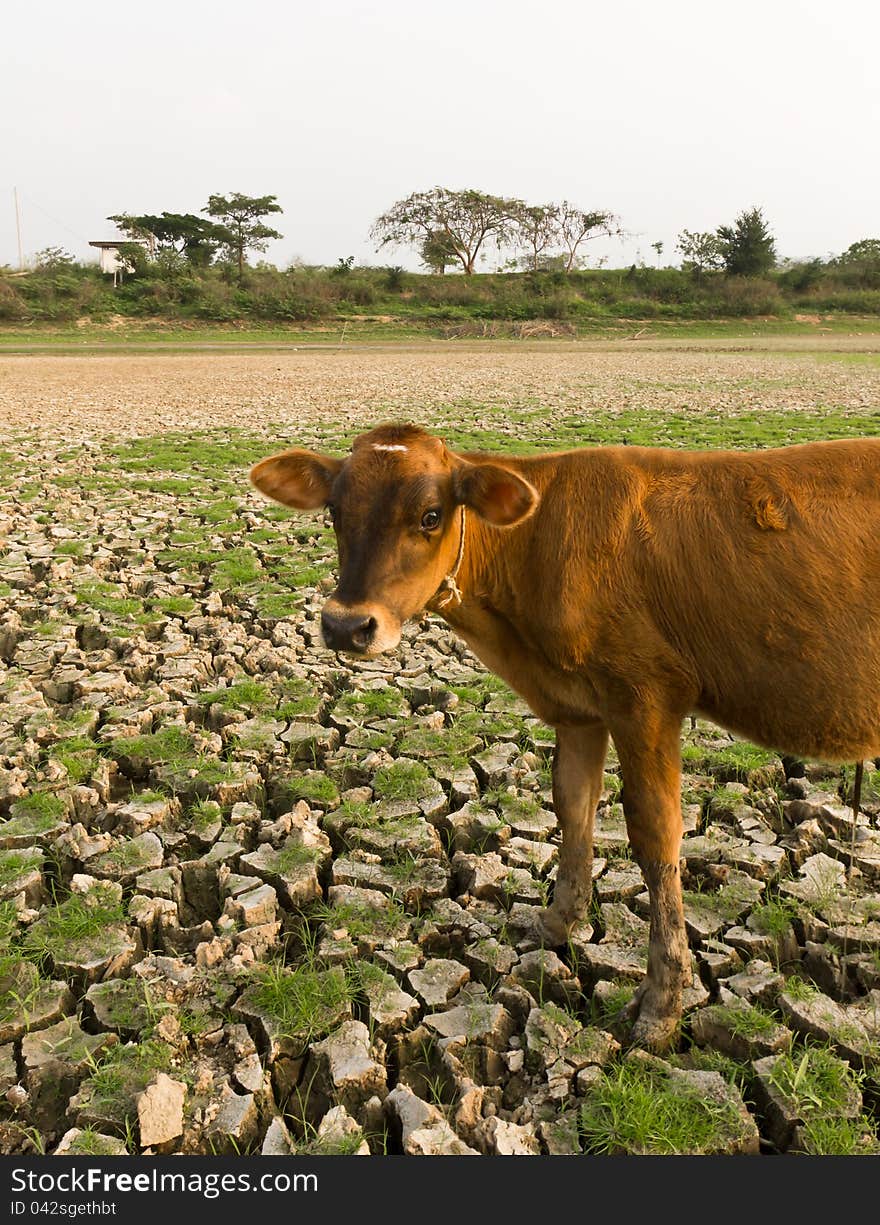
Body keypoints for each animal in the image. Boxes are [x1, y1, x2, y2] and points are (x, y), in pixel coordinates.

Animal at [250, 426, 880, 1048]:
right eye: (335, 511)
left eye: (430, 515)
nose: (345, 626)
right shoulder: (579, 711)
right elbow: (572, 806)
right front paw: (560, 919)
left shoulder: (645, 696)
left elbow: (656, 838)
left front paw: (662, 998)